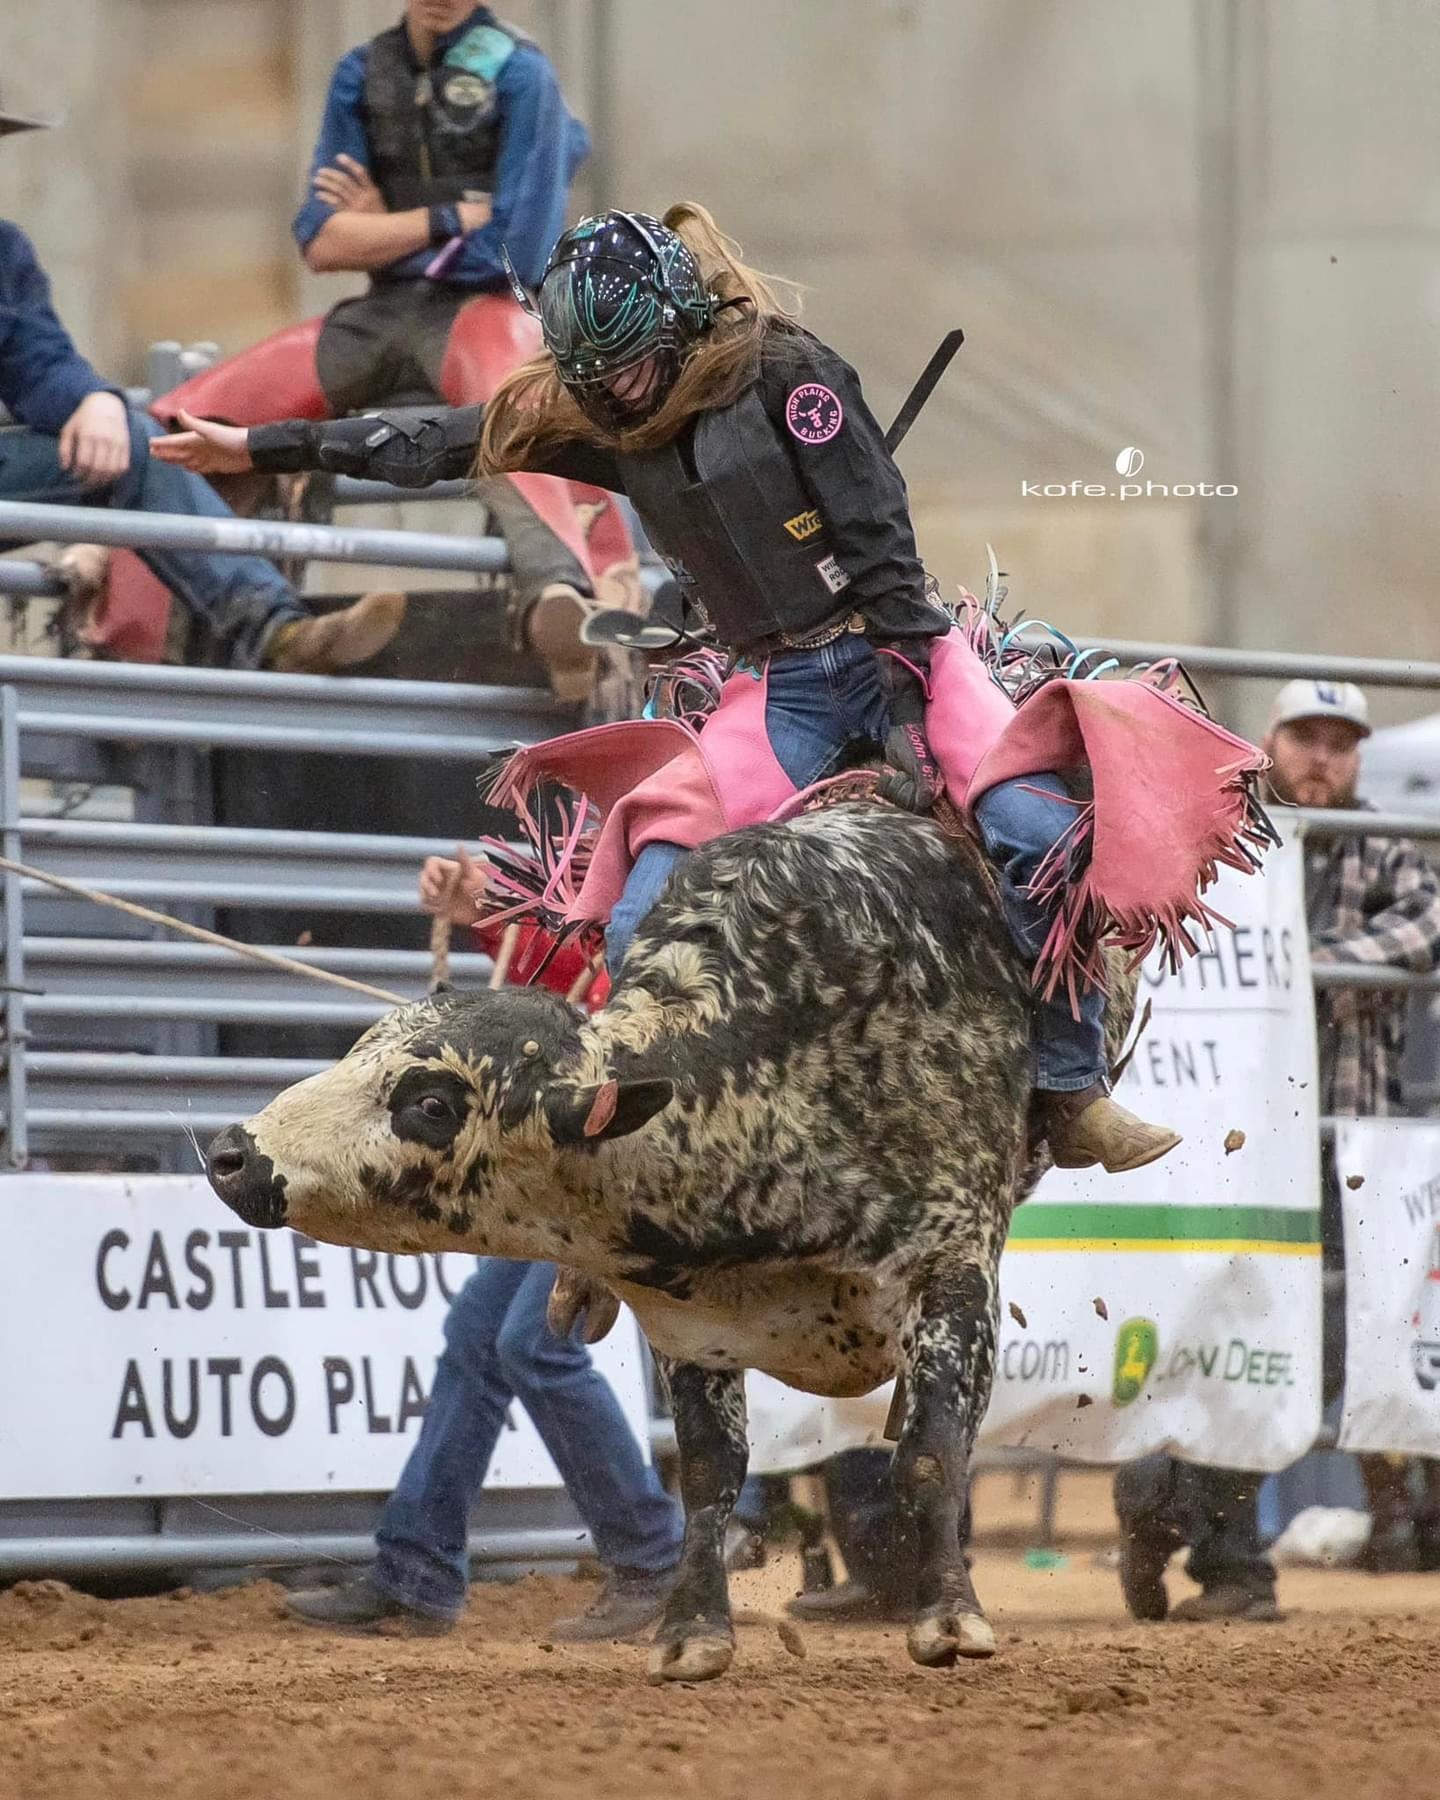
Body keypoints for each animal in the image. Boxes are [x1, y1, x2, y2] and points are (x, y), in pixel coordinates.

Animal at [207, 810, 1116, 1677]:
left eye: (432, 1103)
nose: (231, 1153)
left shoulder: (954, 1266)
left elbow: (931, 1452)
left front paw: (950, 1619)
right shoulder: (693, 1321)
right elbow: (710, 1477)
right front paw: (693, 1632)